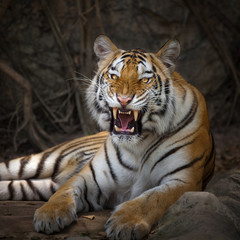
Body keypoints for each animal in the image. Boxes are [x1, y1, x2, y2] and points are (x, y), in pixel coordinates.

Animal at [0, 35, 214, 240]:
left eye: (145, 80)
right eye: (113, 76)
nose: (123, 100)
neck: (140, 144)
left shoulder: (183, 181)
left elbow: (152, 198)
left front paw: (125, 224)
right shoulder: (91, 178)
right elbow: (63, 193)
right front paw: (49, 215)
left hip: (41, 185)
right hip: (42, 160)